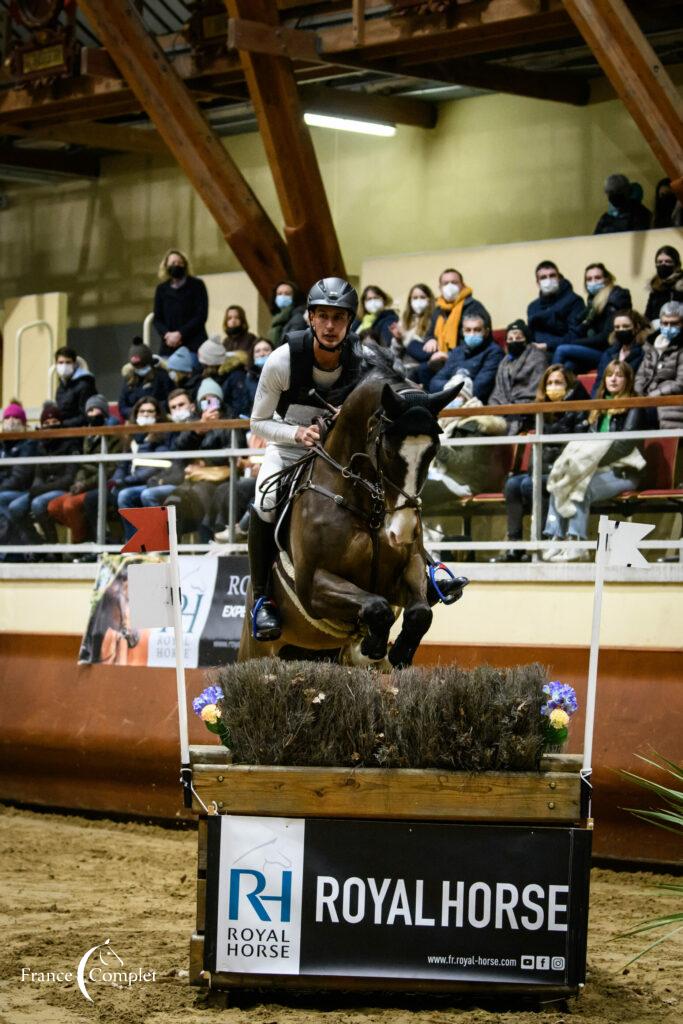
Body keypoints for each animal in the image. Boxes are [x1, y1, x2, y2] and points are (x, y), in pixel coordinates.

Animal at [237, 364, 462, 667]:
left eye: (433, 450)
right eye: (388, 450)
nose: (402, 531)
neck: (371, 510)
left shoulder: (408, 566)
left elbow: (419, 612)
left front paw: (399, 651)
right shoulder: (314, 585)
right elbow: (377, 607)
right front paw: (374, 644)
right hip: (256, 650)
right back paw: (265, 617)